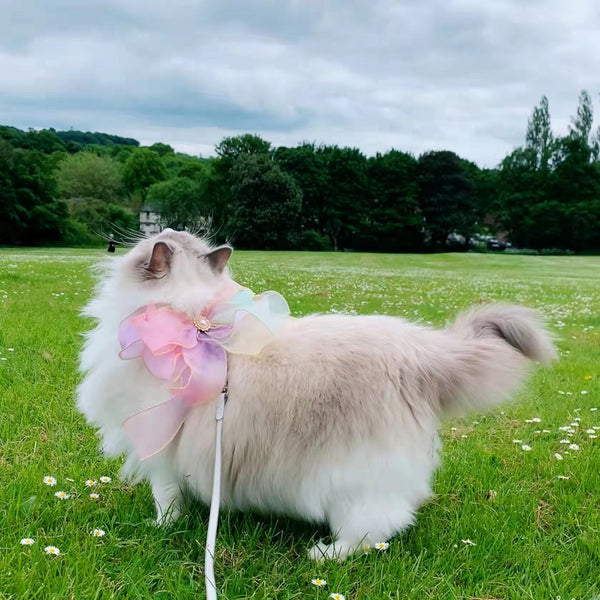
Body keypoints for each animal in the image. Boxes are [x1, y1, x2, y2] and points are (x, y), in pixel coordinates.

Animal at [77, 227, 556, 560]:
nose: (153, 228)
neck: (192, 322)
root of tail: (419, 353)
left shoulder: (160, 453)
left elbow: (165, 501)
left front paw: (160, 529)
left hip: (353, 480)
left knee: (375, 529)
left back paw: (324, 555)